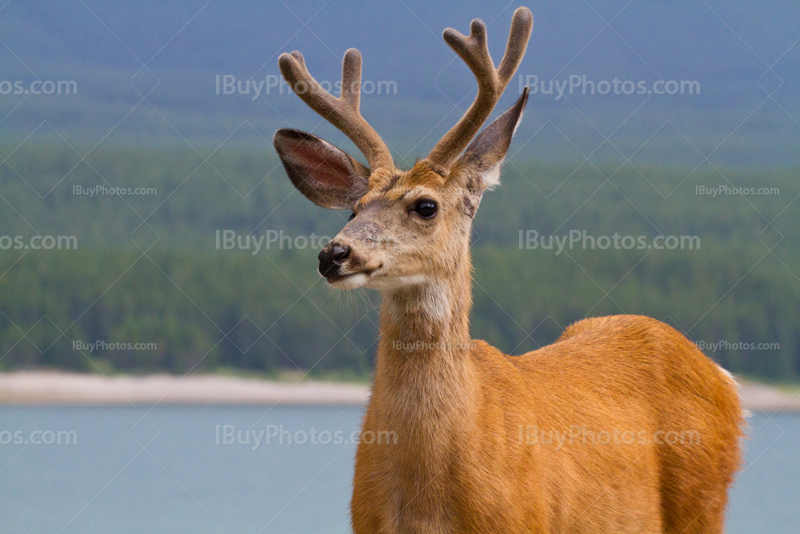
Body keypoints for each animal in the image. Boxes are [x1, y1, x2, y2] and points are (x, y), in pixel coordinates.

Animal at [274, 6, 744, 532]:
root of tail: (724, 378)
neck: (426, 500)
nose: (334, 254)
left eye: (425, 206)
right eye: (354, 209)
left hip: (703, 505)